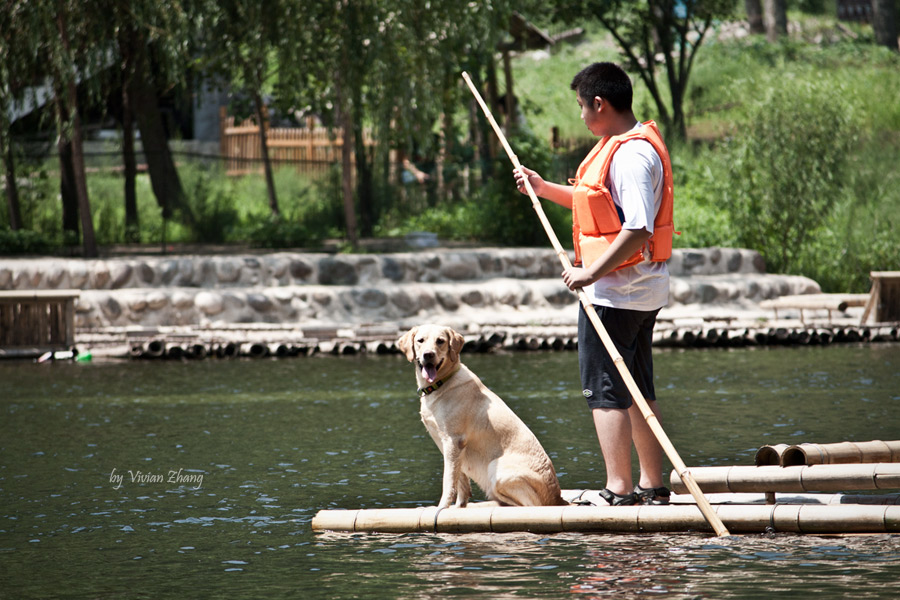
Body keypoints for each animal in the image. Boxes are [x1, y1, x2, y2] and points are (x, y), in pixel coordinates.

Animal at [400, 326, 568, 508]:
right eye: (420, 340)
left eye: (440, 341)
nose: (428, 355)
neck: (442, 383)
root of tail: (558, 499)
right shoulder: (448, 444)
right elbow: (461, 481)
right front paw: (458, 507)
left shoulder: (453, 441)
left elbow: (449, 481)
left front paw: (442, 508)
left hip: (496, 469)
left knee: (527, 505)